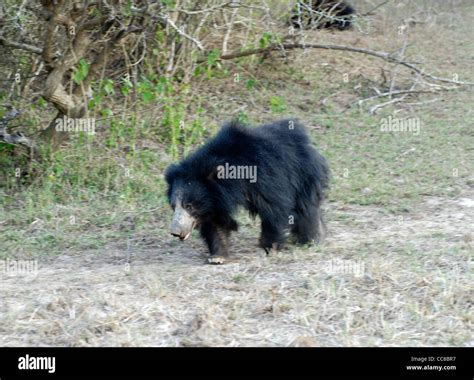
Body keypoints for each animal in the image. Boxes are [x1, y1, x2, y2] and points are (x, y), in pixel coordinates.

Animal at [166, 119, 330, 264]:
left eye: (189, 206)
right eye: (174, 206)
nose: (175, 232)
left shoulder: (264, 176)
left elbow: (274, 209)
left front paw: (269, 247)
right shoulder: (214, 200)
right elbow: (215, 224)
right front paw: (218, 256)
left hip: (303, 174)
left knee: (306, 209)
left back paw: (312, 239)